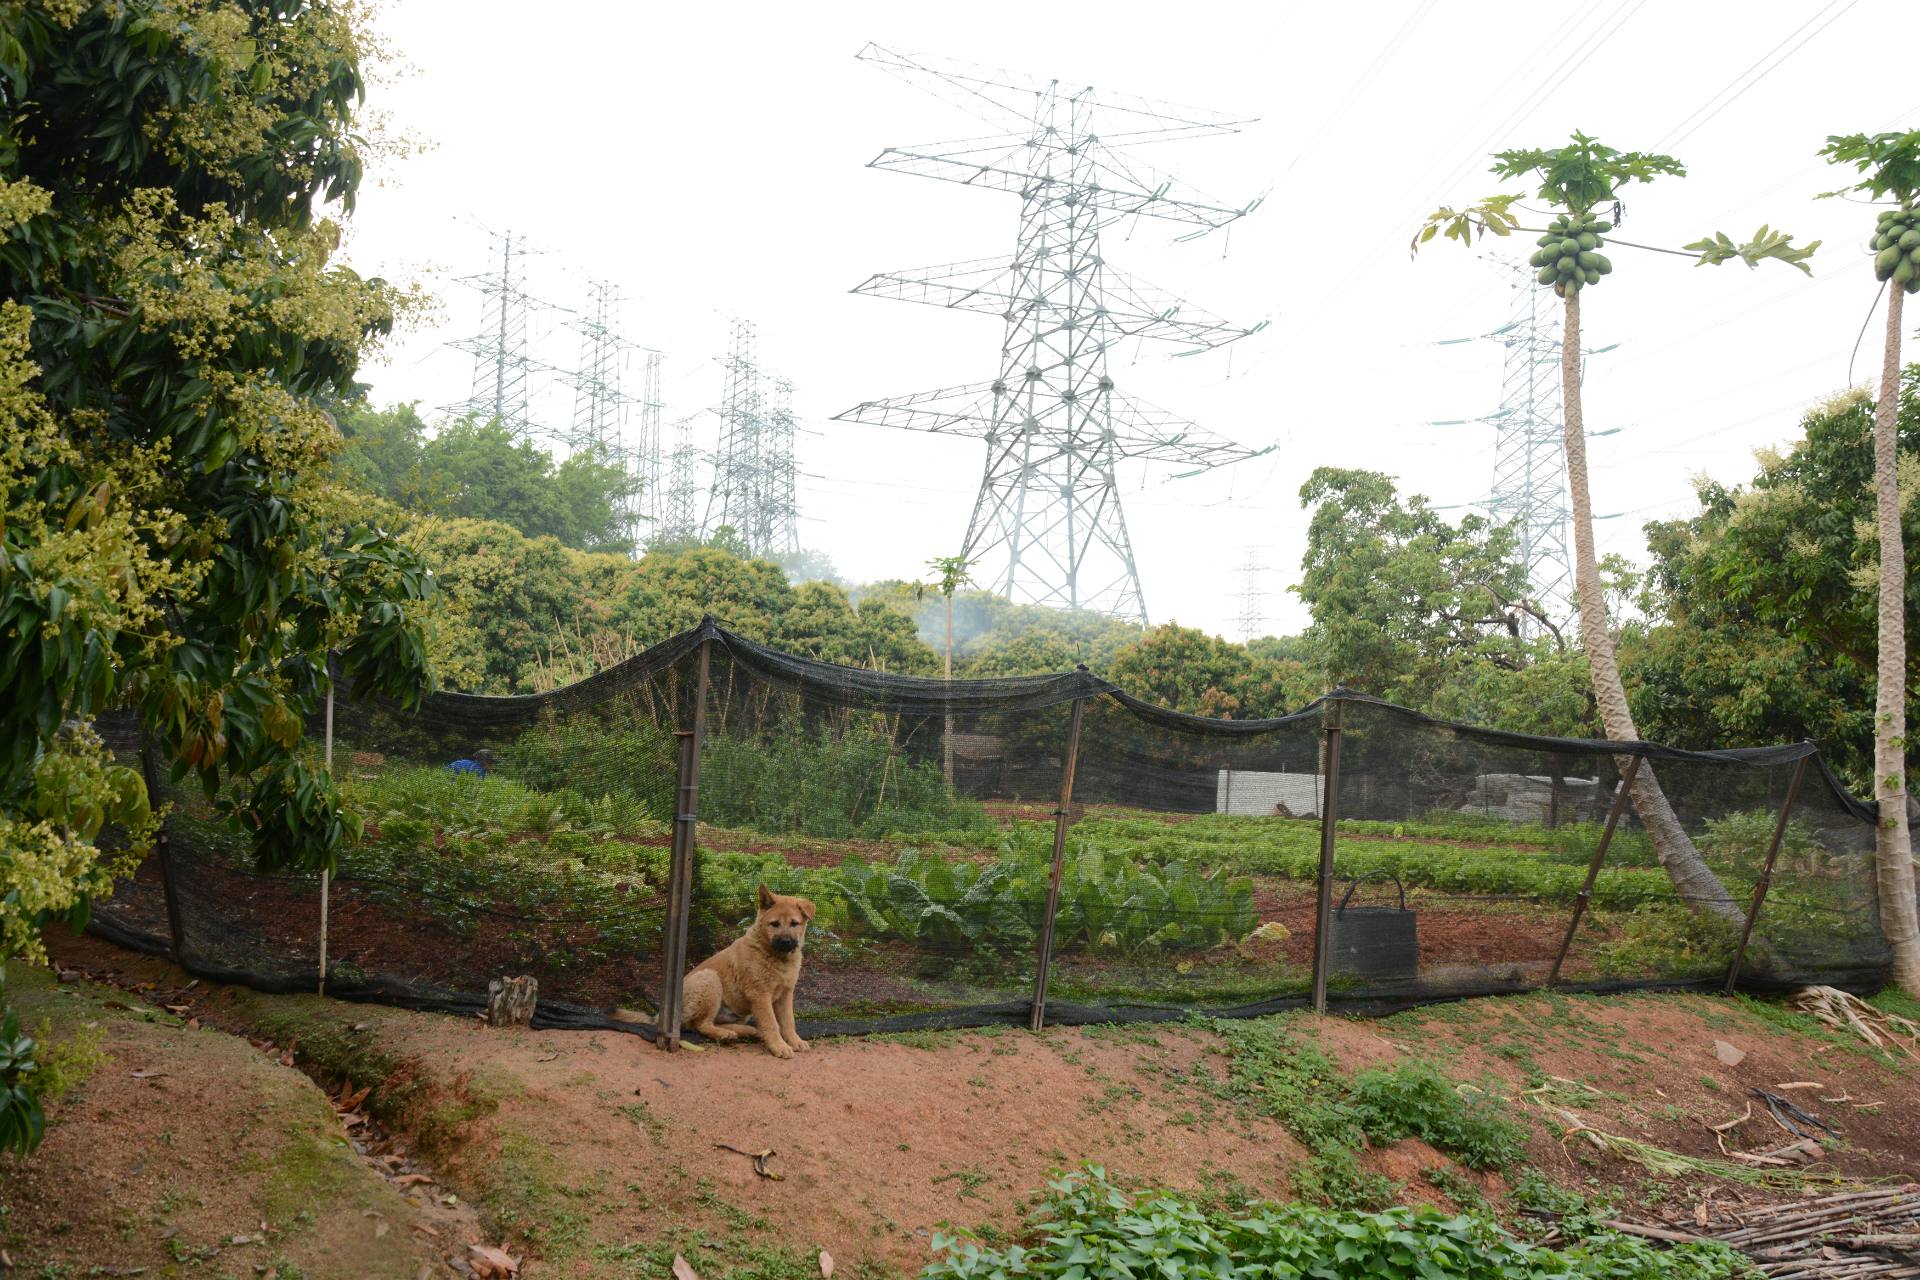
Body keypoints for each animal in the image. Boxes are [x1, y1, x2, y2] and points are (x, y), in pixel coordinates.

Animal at [618, 886, 814, 1059]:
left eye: (794, 924)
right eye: (774, 924)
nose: (786, 942)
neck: (775, 957)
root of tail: (662, 1014)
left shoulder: (785, 994)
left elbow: (788, 1021)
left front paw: (795, 1041)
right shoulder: (760, 995)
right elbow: (771, 1023)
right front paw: (779, 1046)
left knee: (717, 1023)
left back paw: (747, 1031)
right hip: (710, 979)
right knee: (699, 1024)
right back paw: (724, 1034)